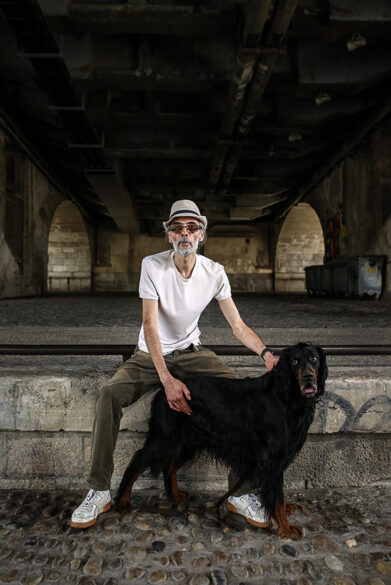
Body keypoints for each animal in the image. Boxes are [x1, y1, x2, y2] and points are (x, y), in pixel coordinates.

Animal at [115, 342, 328, 540]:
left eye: (314, 358)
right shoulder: (273, 458)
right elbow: (277, 496)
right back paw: (122, 500)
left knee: (169, 467)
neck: (286, 396)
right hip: (164, 437)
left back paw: (175, 494)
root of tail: (165, 389)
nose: (308, 376)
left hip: (187, 441)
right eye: (295, 362)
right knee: (138, 460)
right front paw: (285, 528)